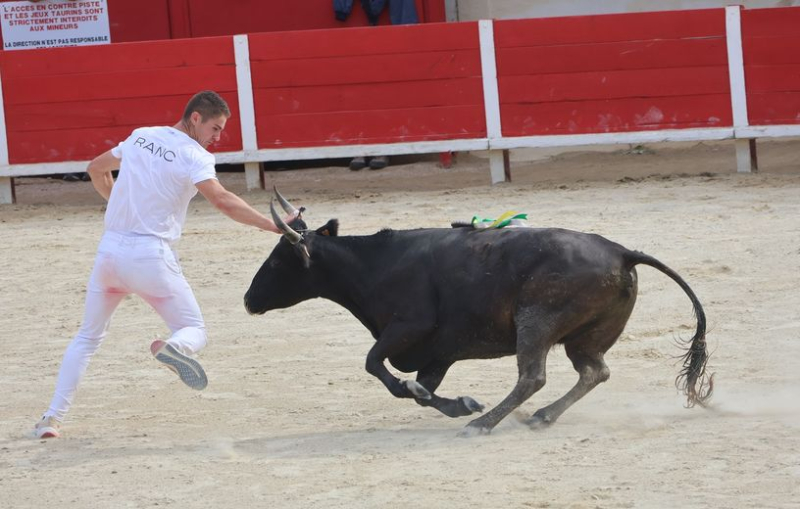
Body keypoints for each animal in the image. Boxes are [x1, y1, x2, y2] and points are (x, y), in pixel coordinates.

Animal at [245, 206, 712, 432]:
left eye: (277, 262)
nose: (248, 300)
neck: (376, 265)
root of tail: (620, 251)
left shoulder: (409, 327)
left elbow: (376, 365)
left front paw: (464, 408)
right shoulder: (438, 353)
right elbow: (420, 391)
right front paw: (458, 403)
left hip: (536, 321)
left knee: (533, 377)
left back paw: (484, 424)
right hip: (588, 336)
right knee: (594, 371)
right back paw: (541, 417)